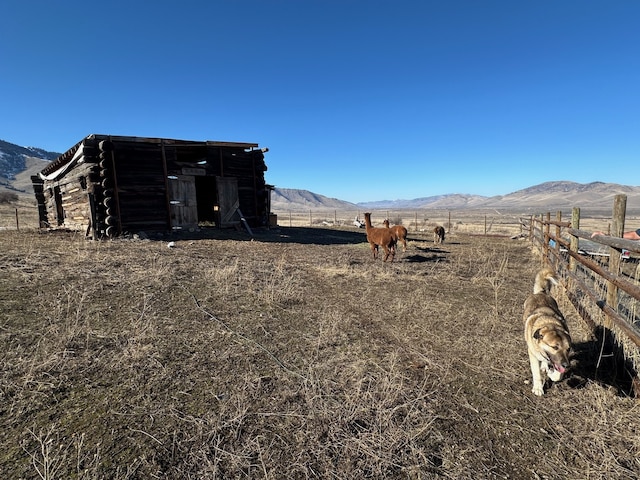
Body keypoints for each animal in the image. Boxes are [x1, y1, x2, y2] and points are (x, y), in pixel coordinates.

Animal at [524, 268, 568, 396]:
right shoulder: (533, 354)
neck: (549, 324)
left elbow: (558, 375)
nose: (567, 365)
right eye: (554, 347)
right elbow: (536, 373)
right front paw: (538, 388)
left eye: (568, 349)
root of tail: (541, 292)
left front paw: (551, 374)